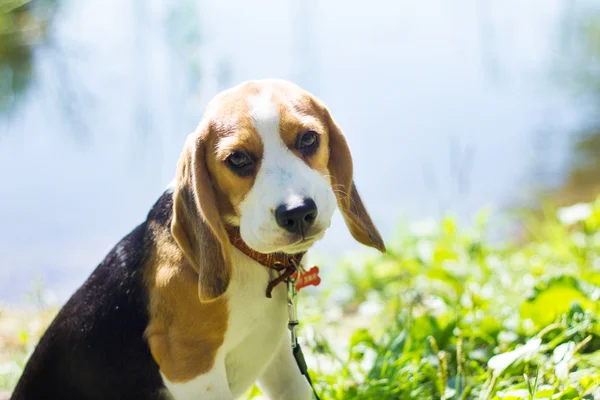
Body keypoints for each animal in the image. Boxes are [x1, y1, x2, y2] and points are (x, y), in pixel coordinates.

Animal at [11, 79, 384, 400]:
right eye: (237, 159)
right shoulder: (190, 366)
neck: (244, 253)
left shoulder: (280, 352)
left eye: (308, 139)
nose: (298, 213)